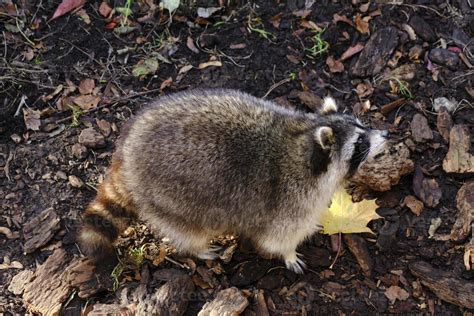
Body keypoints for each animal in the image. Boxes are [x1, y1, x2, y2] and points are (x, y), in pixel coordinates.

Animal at [78, 88, 386, 272]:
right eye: (360, 144)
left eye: (362, 125)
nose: (386, 134)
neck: (303, 139)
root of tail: (125, 152)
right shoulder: (288, 203)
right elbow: (277, 239)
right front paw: (288, 253)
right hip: (168, 199)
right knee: (189, 230)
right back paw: (198, 248)